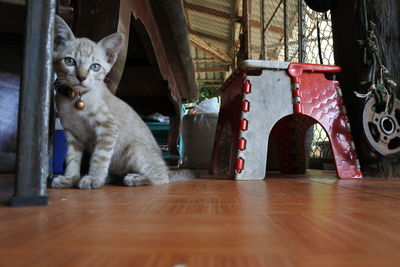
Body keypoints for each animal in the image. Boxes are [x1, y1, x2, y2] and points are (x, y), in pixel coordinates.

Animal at [50, 15, 195, 189]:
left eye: (95, 67)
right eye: (70, 61)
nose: (81, 77)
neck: (77, 99)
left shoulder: (108, 128)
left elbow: (99, 157)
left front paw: (94, 179)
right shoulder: (72, 135)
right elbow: (72, 159)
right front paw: (70, 178)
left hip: (134, 151)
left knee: (162, 178)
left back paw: (135, 178)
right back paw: (111, 177)